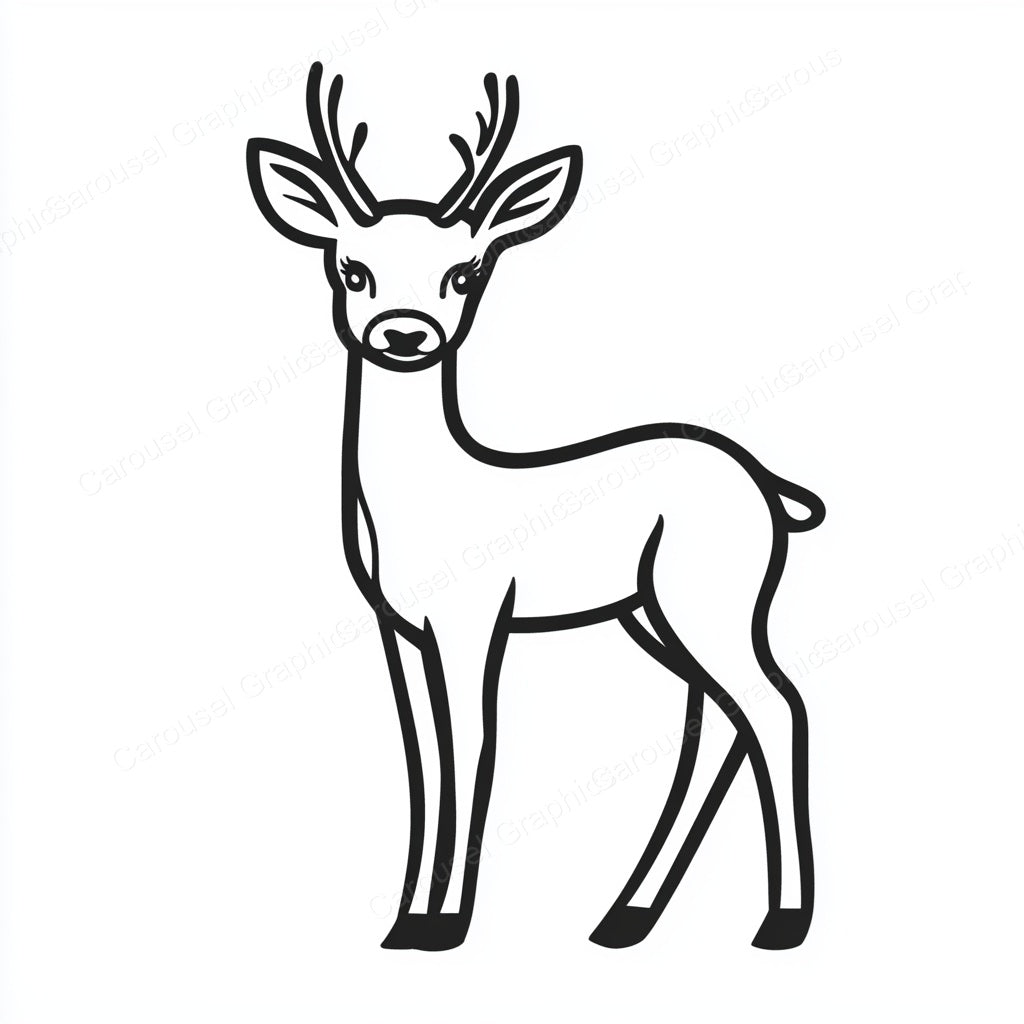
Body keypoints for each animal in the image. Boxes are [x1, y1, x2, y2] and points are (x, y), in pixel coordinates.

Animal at [246, 64, 825, 952]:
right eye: (350, 267)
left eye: (465, 272)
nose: (405, 334)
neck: (423, 500)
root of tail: (772, 490)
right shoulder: (397, 627)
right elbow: (422, 760)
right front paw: (405, 920)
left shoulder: (475, 616)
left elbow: (474, 747)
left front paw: (444, 924)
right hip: (652, 612)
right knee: (720, 720)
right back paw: (625, 916)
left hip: (710, 597)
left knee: (776, 706)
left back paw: (781, 921)